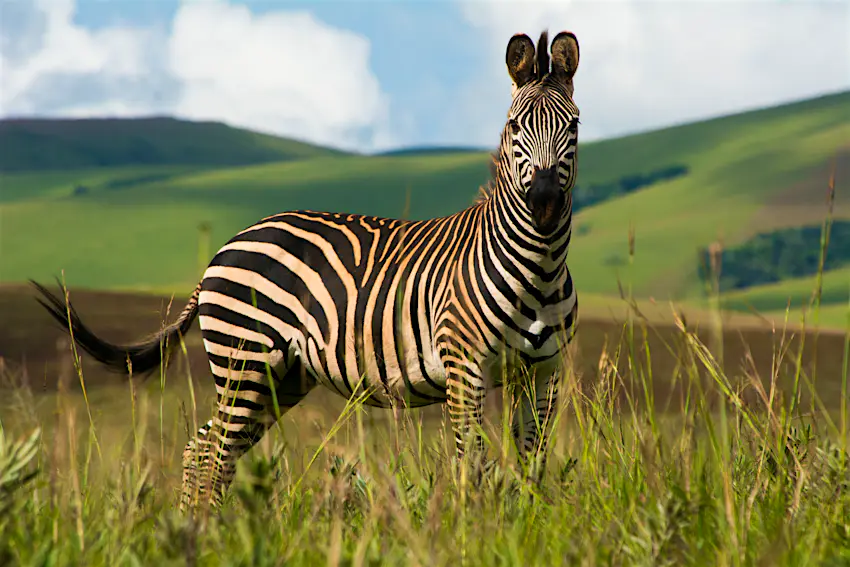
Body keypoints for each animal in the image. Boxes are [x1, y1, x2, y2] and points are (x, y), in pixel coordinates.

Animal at [32, 29, 581, 510]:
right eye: (515, 128)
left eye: (573, 127)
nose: (545, 203)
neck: (537, 269)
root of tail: (227, 246)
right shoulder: (464, 367)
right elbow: (472, 468)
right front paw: (472, 530)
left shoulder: (543, 374)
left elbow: (532, 465)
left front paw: (525, 527)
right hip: (244, 360)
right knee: (214, 454)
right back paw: (206, 535)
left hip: (281, 377)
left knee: (204, 448)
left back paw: (201, 527)